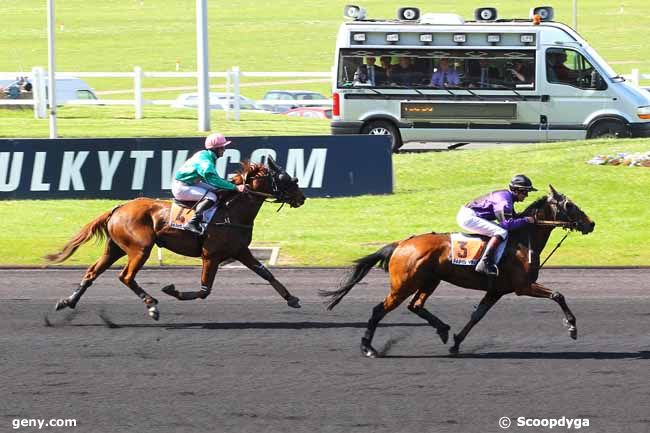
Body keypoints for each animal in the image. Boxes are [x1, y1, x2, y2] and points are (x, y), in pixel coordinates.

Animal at [45, 157, 304, 318]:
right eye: (285, 178)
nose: (301, 198)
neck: (231, 211)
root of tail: (118, 208)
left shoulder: (241, 251)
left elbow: (266, 273)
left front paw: (291, 298)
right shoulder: (211, 255)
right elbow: (204, 290)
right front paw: (172, 290)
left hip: (115, 248)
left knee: (92, 273)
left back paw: (68, 301)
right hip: (141, 248)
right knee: (126, 276)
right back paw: (151, 305)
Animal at [318, 184, 592, 356]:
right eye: (569, 205)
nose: (591, 224)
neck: (522, 241)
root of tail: (401, 243)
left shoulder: (496, 290)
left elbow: (476, 316)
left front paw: (456, 343)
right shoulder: (522, 286)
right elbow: (558, 295)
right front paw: (572, 328)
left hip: (429, 281)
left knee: (415, 306)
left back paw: (442, 329)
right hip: (403, 285)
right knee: (379, 310)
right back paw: (368, 348)